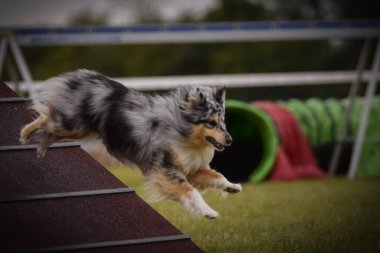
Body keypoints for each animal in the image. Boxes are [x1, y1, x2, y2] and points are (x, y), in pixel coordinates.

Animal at [19, 68, 242, 217]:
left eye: (223, 122)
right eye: (211, 123)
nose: (230, 140)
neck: (182, 131)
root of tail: (85, 76)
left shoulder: (192, 168)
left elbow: (216, 175)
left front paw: (232, 187)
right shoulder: (166, 168)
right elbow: (189, 190)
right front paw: (208, 212)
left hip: (78, 130)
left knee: (49, 131)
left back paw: (40, 149)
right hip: (71, 125)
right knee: (45, 119)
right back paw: (24, 135)